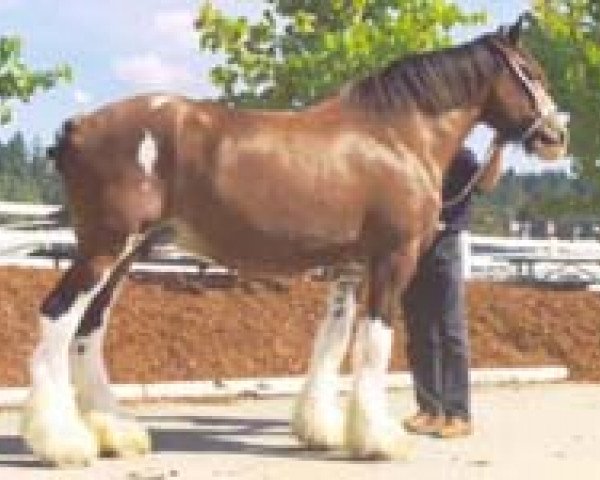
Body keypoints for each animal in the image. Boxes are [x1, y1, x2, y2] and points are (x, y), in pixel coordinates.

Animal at [22, 18, 568, 464]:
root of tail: (79, 127)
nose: (557, 136)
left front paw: (320, 429)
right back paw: (62, 443)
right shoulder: (392, 259)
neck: (396, 135)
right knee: (56, 318)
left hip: (125, 255)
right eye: (529, 72)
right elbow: (374, 341)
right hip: (106, 248)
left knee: (89, 329)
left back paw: (114, 433)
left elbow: (333, 339)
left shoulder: (350, 266)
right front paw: (378, 439)